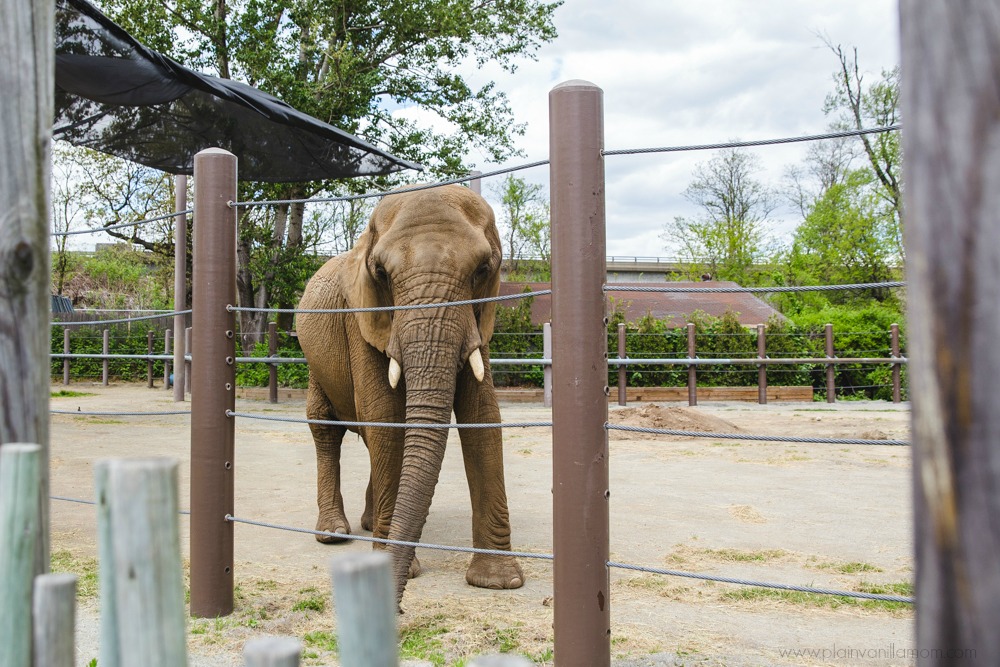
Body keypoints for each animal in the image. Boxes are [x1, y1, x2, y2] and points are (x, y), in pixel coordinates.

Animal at [295, 183, 525, 605]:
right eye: (381, 273)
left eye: (483, 270)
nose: (398, 609)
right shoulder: (362, 316)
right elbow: (385, 415)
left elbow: (483, 416)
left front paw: (499, 582)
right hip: (314, 363)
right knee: (326, 430)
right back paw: (335, 533)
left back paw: (370, 524)